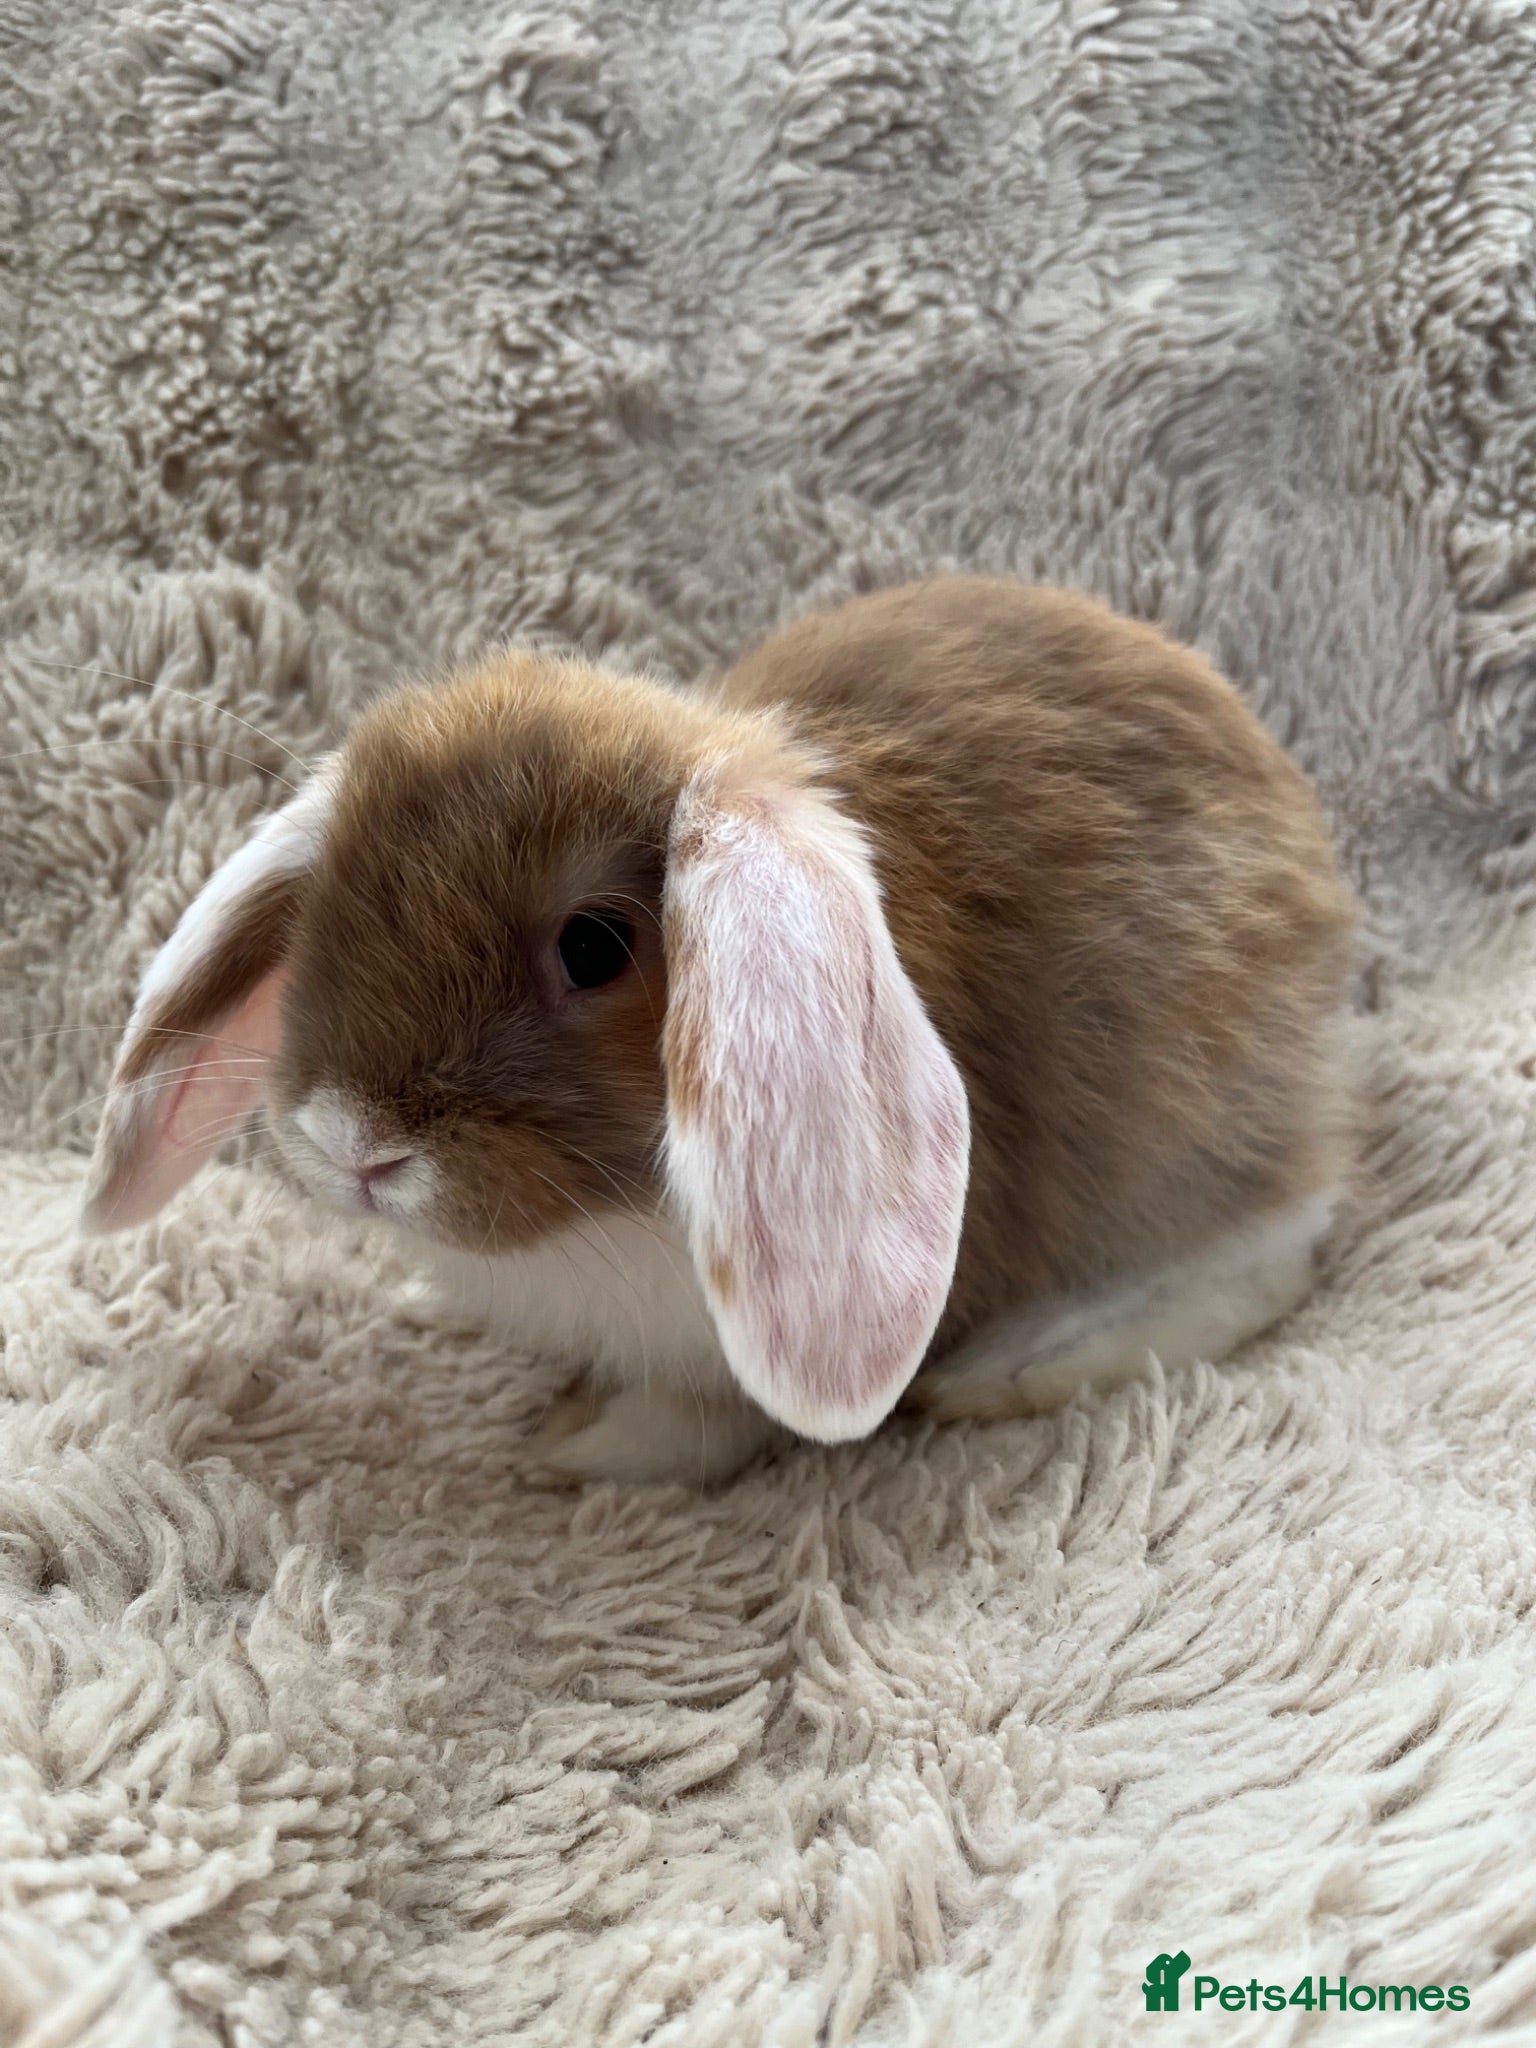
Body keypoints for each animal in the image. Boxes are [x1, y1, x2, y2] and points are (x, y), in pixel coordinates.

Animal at [81, 577, 1355, 1485]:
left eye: (595, 946)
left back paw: (1018, 1361)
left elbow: (692, 1426)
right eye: (325, 908)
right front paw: (431, 1302)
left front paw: (573, 1446)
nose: (355, 1143)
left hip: (1178, 1127)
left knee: (1266, 1252)